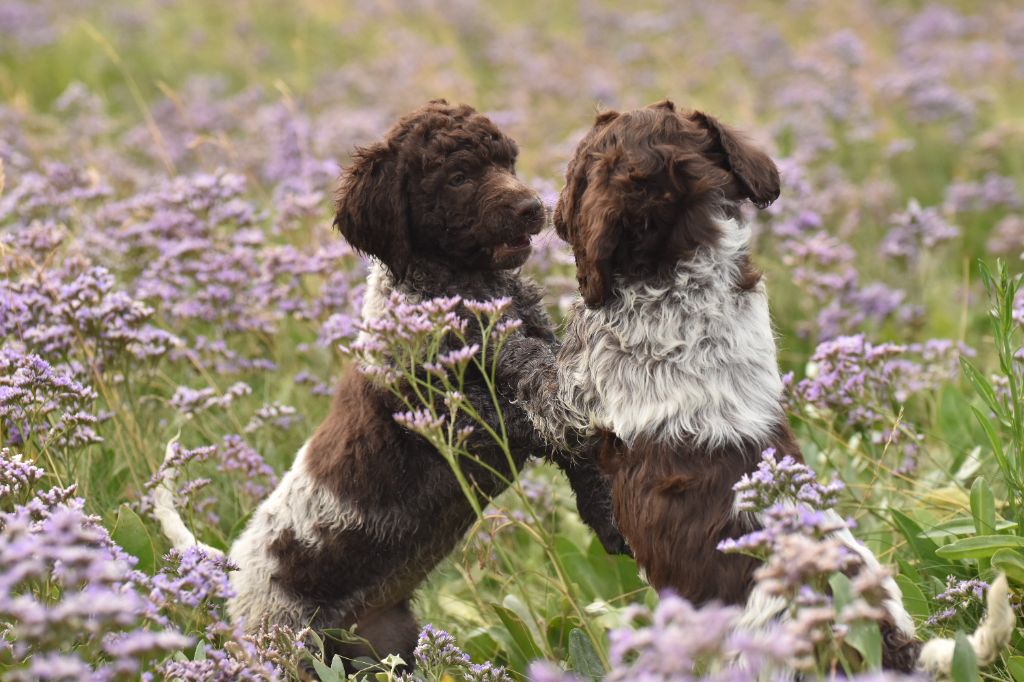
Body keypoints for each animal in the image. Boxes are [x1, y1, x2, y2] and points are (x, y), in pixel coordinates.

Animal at [155, 100, 626, 667]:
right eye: (458, 177)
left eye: (507, 162)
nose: (533, 207)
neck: (458, 283)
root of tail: (233, 574)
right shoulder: (470, 415)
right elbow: (548, 404)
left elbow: (575, 442)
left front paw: (609, 517)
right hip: (288, 644)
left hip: (387, 644)